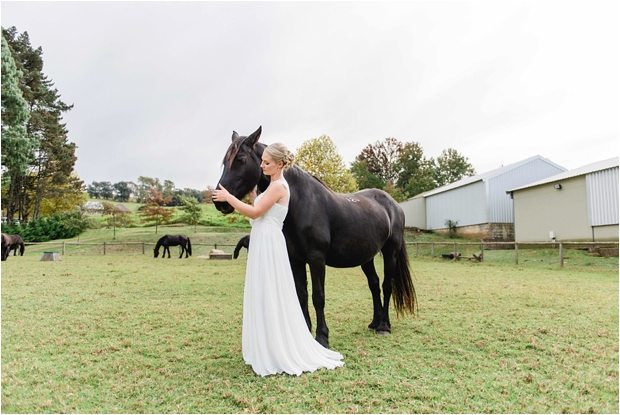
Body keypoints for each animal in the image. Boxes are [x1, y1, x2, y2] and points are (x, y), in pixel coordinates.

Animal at [216, 126, 418, 348]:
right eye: (225, 162)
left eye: (241, 159)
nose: (219, 202)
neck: (301, 202)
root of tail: (393, 204)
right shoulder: (295, 259)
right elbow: (302, 295)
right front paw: (306, 334)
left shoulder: (316, 258)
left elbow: (318, 296)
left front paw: (322, 337)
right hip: (367, 256)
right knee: (374, 285)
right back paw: (374, 322)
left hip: (390, 252)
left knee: (386, 285)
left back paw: (384, 326)